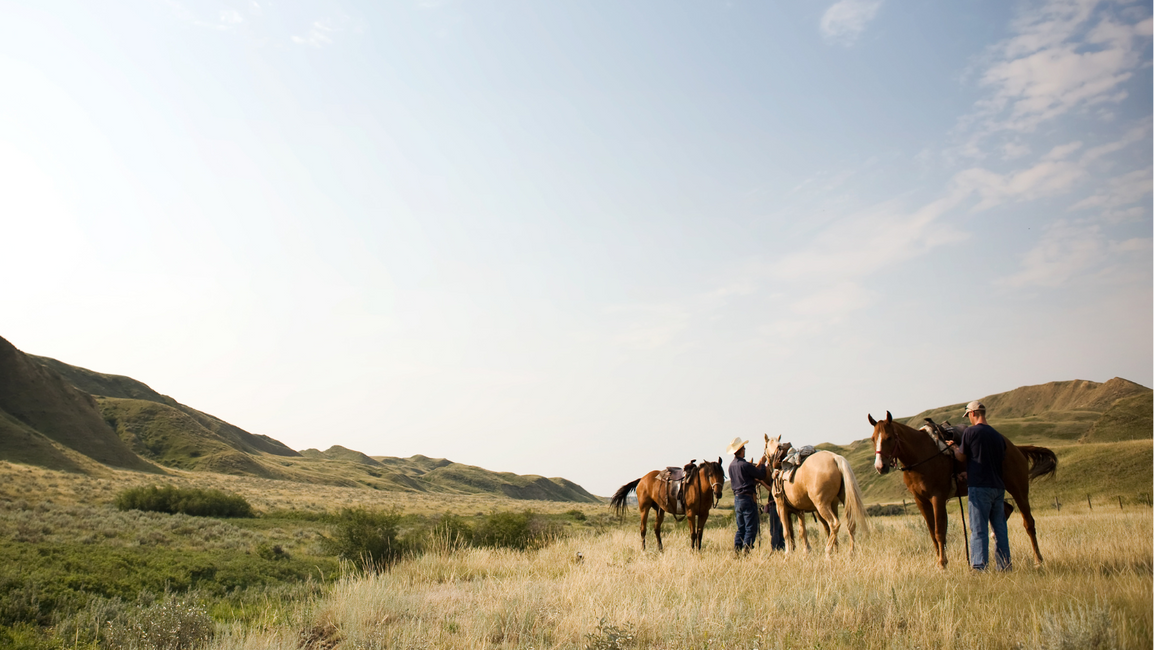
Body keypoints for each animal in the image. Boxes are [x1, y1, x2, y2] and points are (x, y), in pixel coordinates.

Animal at [867, 411, 1061, 570]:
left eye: (889, 437)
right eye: (873, 438)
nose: (880, 466)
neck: (922, 456)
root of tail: (1016, 449)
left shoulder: (937, 498)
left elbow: (939, 531)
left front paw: (942, 563)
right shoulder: (921, 501)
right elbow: (932, 532)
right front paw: (939, 560)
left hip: (1018, 490)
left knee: (1029, 523)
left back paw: (1038, 560)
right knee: (1006, 510)